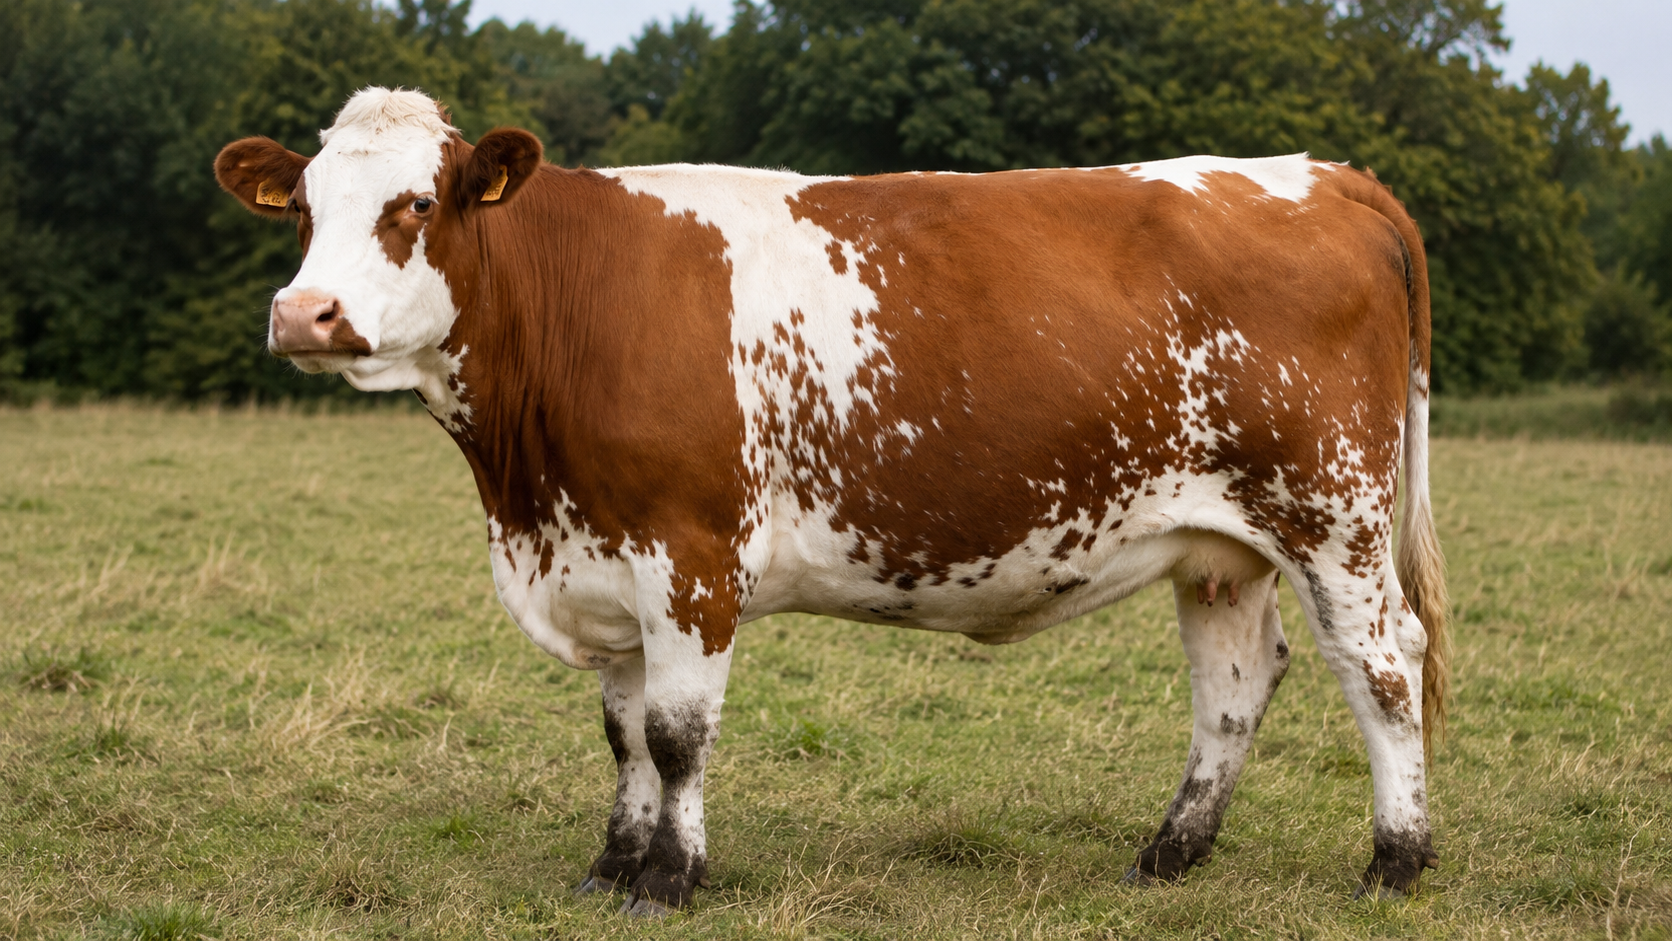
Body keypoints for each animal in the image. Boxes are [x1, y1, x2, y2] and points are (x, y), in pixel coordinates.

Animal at [215, 87, 1449, 916]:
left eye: (417, 202)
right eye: (303, 210)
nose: (305, 313)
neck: (526, 486)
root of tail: (1323, 173)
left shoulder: (689, 555)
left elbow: (675, 733)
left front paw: (671, 877)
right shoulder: (601, 562)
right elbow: (621, 731)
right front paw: (611, 863)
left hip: (1331, 511)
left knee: (1385, 663)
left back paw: (1395, 859)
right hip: (1217, 542)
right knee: (1235, 682)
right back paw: (1169, 853)